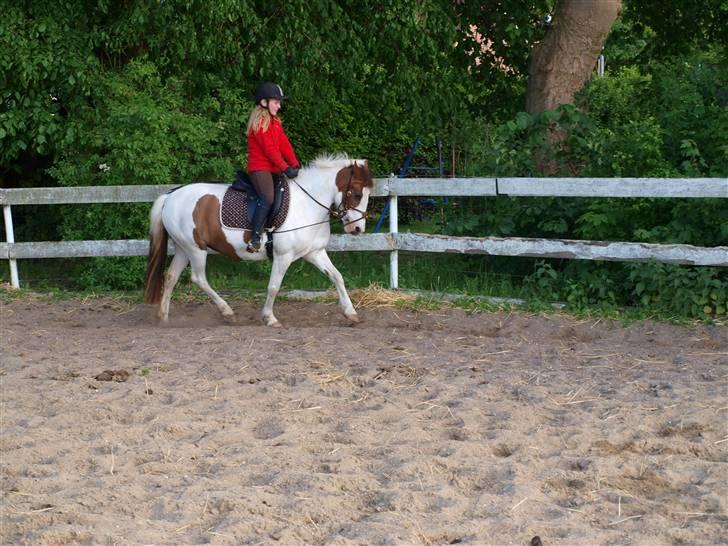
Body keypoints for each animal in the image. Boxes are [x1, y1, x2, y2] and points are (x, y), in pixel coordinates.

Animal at [143, 154, 372, 324]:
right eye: (357, 194)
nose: (357, 228)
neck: (307, 204)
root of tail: (171, 196)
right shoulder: (283, 256)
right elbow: (274, 286)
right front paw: (269, 318)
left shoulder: (314, 253)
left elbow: (337, 276)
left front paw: (351, 313)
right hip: (196, 250)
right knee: (199, 278)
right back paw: (227, 311)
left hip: (184, 249)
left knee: (170, 276)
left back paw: (164, 317)